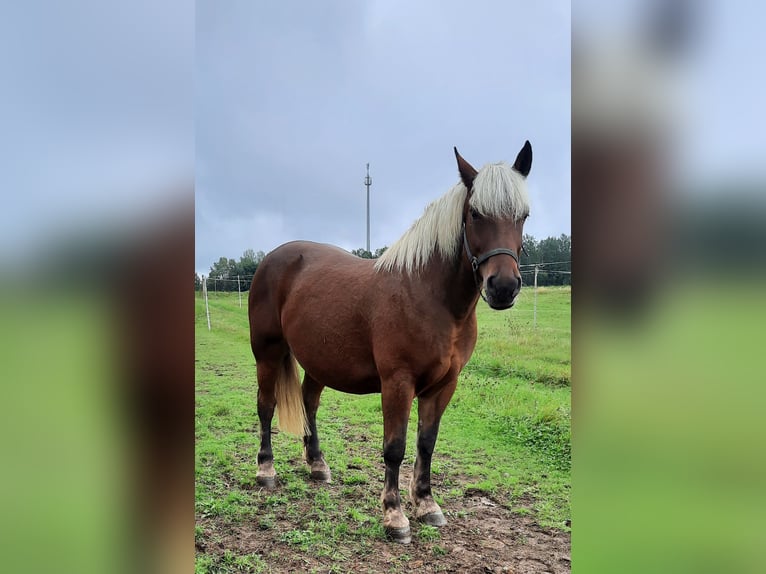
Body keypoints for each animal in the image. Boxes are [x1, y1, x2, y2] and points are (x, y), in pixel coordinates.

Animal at [249, 143, 532, 544]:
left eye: (523, 215)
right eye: (475, 214)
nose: (503, 287)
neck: (428, 296)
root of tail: (274, 258)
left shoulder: (444, 385)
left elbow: (426, 443)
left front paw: (427, 505)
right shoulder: (398, 383)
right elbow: (394, 447)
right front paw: (394, 516)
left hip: (319, 361)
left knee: (308, 404)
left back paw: (317, 465)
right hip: (267, 353)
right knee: (266, 406)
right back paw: (266, 470)